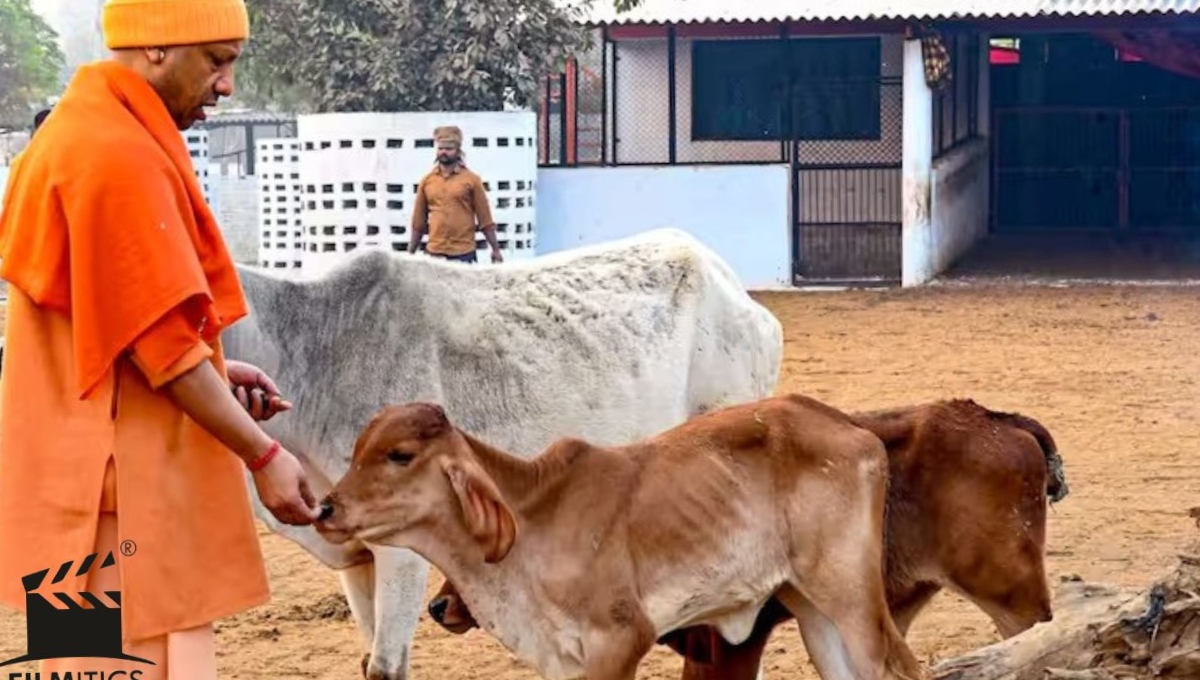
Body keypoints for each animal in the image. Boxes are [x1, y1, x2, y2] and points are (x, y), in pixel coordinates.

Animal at [314, 394, 928, 680]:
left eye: (399, 455)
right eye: (357, 451)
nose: (324, 507)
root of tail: (850, 426)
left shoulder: (620, 639)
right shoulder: (560, 661)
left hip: (853, 600)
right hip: (813, 611)